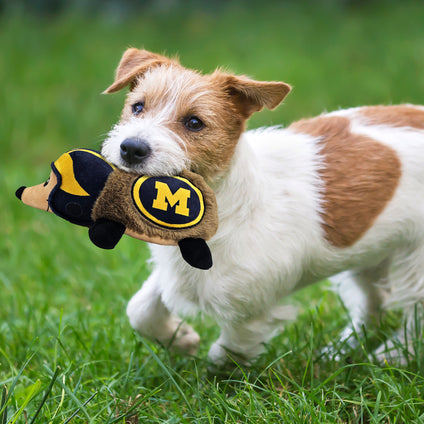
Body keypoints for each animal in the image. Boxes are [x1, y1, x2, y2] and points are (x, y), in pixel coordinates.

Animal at [102, 48, 424, 366]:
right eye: (138, 107)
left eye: (194, 123)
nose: (131, 148)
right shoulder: (176, 272)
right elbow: (140, 309)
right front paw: (180, 339)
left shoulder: (251, 310)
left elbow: (227, 353)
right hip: (369, 255)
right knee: (373, 303)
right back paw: (341, 352)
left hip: (414, 264)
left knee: (414, 315)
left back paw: (395, 355)